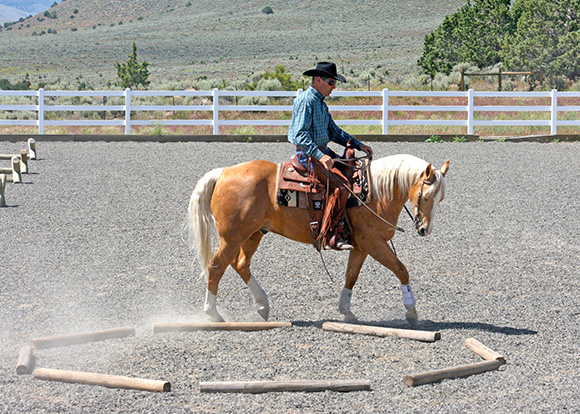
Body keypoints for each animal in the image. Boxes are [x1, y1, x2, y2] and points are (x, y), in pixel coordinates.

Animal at [188, 154, 450, 324]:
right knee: (216, 266)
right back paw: (213, 313)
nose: (424, 229)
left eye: (441, 199)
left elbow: (351, 275)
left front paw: (346, 311)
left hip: (253, 234)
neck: (374, 193)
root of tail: (223, 172)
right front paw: (411, 312)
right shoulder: (374, 243)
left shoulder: (361, 246)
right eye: (426, 196)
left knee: (240, 264)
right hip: (232, 237)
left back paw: (263, 305)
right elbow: (401, 270)